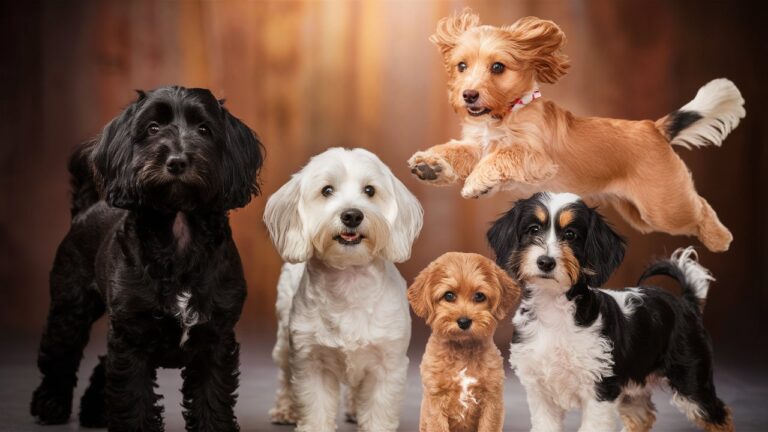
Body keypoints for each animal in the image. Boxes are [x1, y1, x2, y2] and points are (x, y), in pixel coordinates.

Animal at [30, 86, 264, 430]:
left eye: (204, 130)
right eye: (153, 128)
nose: (177, 161)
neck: (179, 234)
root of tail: (86, 209)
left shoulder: (215, 335)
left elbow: (211, 398)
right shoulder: (132, 335)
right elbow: (133, 396)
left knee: (103, 363)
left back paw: (94, 411)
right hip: (70, 306)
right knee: (60, 355)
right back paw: (51, 404)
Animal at [262, 147, 420, 430]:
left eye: (370, 190)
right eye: (327, 190)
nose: (353, 215)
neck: (349, 281)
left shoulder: (387, 363)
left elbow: (377, 410)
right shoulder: (310, 361)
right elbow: (315, 408)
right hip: (283, 341)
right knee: (285, 376)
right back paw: (285, 409)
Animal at [408, 253, 520, 432]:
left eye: (479, 296)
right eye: (449, 295)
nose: (464, 321)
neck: (462, 351)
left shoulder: (492, 400)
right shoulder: (435, 401)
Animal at [486, 192, 732, 432]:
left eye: (571, 235)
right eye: (533, 229)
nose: (545, 262)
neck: (554, 309)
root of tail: (686, 302)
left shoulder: (600, 389)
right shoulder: (540, 393)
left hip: (691, 382)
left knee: (720, 416)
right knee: (642, 417)